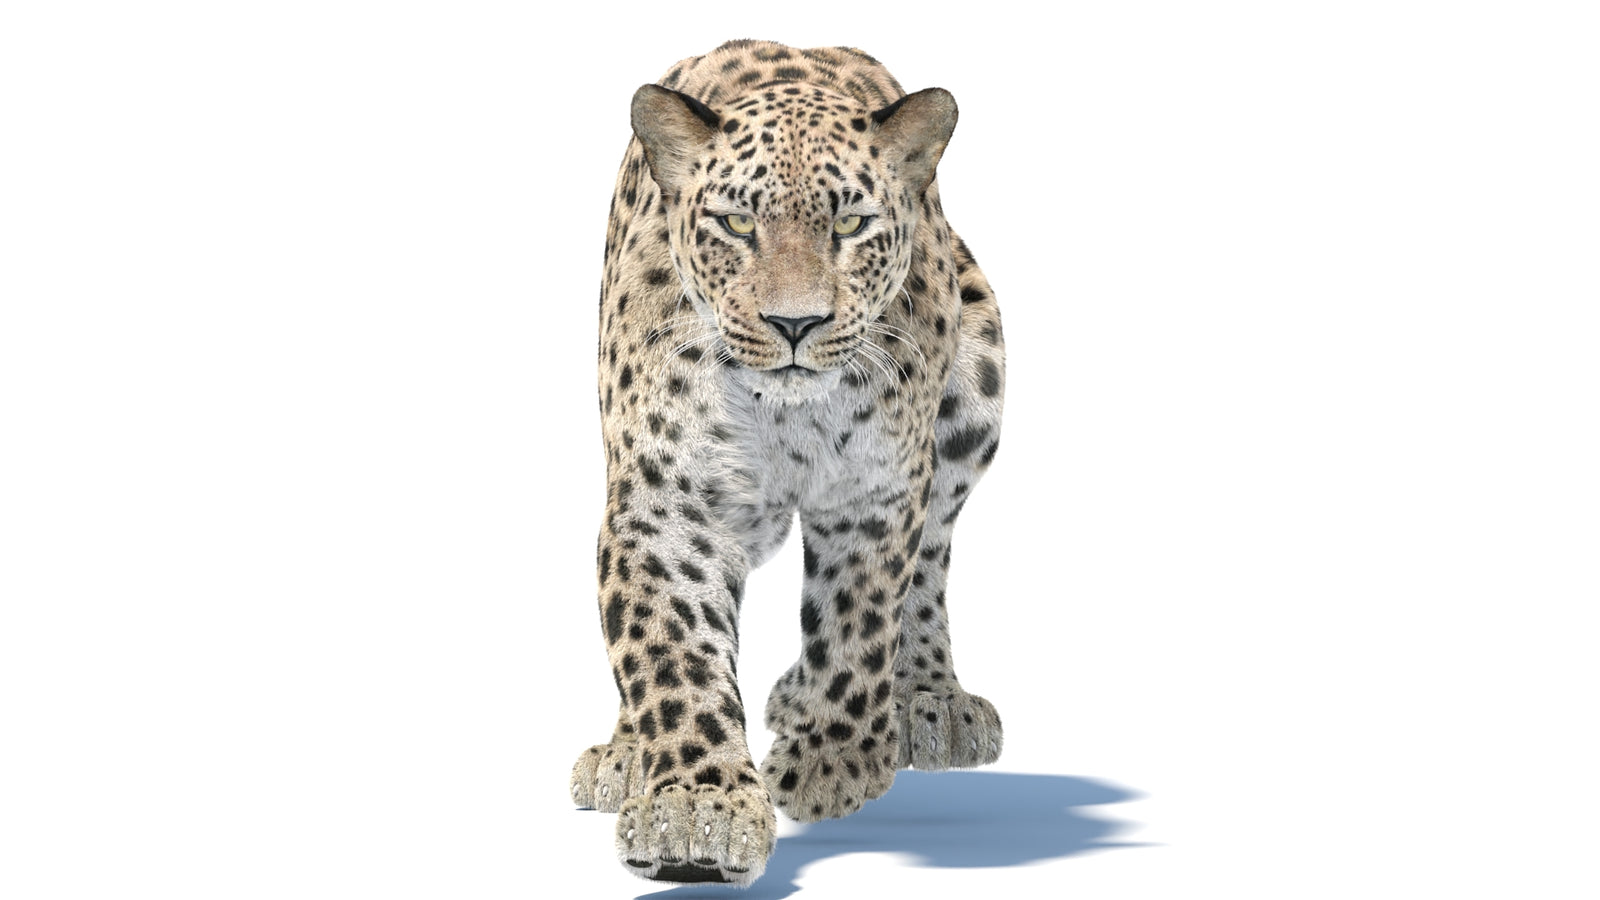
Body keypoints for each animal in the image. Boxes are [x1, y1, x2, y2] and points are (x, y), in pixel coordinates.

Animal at [566, 40, 1006, 886]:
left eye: (852, 223)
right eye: (737, 223)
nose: (795, 323)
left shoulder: (879, 492)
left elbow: (858, 624)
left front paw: (829, 762)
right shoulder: (666, 506)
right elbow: (671, 653)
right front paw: (695, 809)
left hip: (976, 392)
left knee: (931, 558)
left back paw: (925, 702)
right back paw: (627, 753)